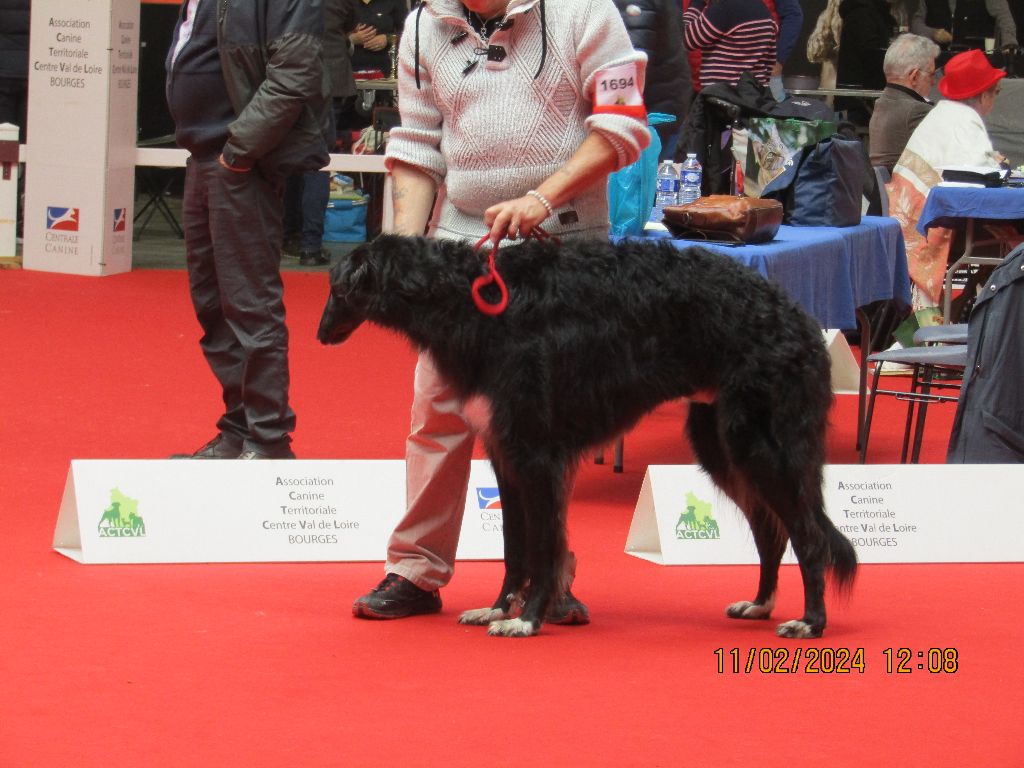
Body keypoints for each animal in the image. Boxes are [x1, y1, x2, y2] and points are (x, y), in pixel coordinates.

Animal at [319, 236, 856, 643]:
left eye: (337, 290)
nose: (321, 336)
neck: (474, 302)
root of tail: (801, 318)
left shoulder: (537, 455)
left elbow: (543, 548)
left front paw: (527, 619)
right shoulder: (504, 454)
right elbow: (514, 548)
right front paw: (498, 609)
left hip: (763, 445)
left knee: (809, 536)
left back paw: (811, 622)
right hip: (722, 444)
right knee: (773, 532)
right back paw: (760, 604)